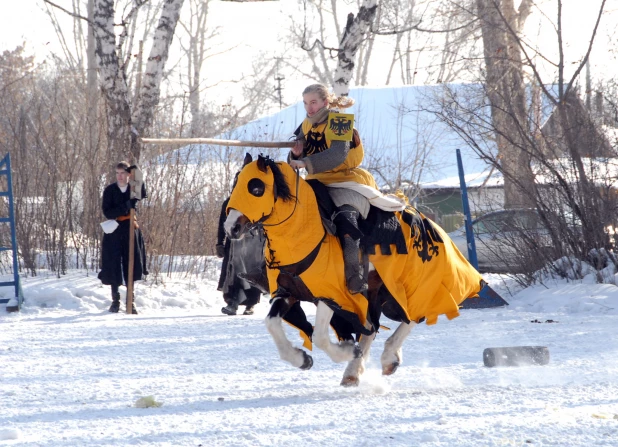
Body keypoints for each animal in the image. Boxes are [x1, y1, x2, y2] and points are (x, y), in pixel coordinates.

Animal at [223, 156, 482, 386]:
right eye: (236, 184)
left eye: (256, 188)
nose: (231, 227)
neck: (306, 236)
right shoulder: (288, 292)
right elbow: (273, 324)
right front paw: (302, 359)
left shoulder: (333, 295)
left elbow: (319, 336)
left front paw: (347, 351)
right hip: (375, 292)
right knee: (372, 329)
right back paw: (353, 372)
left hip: (409, 285)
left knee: (412, 316)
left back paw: (387, 358)